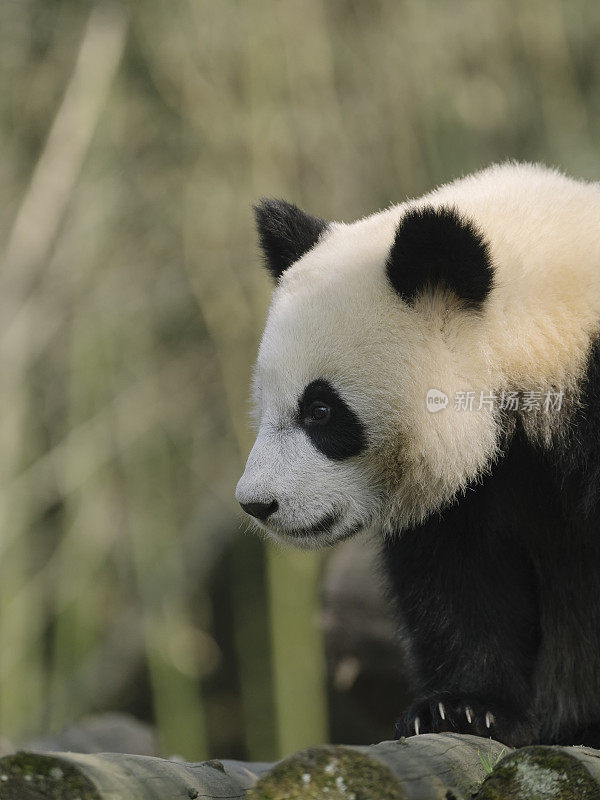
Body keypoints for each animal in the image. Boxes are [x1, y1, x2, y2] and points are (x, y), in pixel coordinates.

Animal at [236, 162, 600, 752]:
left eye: (320, 410)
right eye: (266, 404)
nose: (257, 504)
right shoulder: (479, 480)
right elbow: (458, 573)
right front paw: (462, 709)